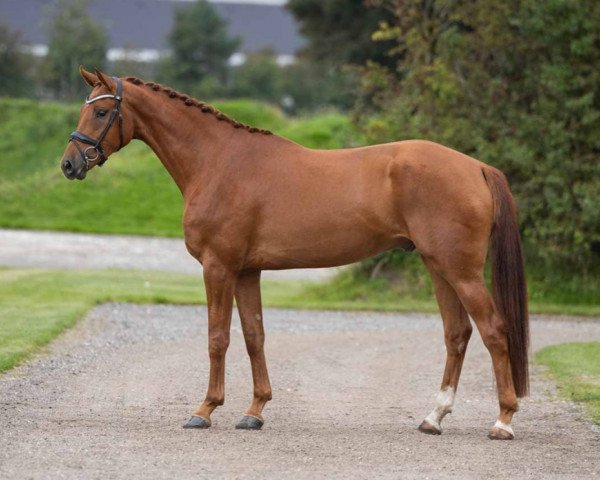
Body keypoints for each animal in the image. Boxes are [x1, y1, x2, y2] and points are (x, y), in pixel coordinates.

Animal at [61, 67, 528, 438]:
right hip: (437, 266)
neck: (219, 162)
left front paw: (205, 410)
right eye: (86, 109)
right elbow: (254, 336)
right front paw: (254, 412)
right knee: (457, 333)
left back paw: (503, 421)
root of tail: (477, 167)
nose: (69, 164)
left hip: (460, 270)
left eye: (100, 112)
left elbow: (217, 337)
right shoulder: (247, 271)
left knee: (493, 330)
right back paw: (434, 417)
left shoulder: (218, 267)